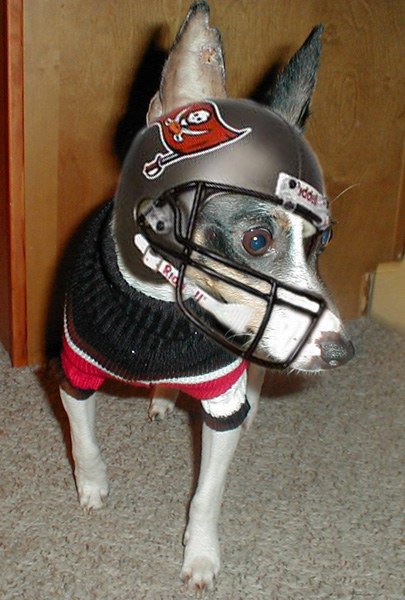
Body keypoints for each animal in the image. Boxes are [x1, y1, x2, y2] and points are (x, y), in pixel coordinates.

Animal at [57, 2, 354, 592]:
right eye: (257, 240)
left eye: (321, 242)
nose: (341, 351)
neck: (159, 307)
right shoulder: (75, 367)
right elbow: (83, 439)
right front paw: (92, 486)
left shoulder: (220, 400)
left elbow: (206, 496)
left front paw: (199, 554)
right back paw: (161, 398)